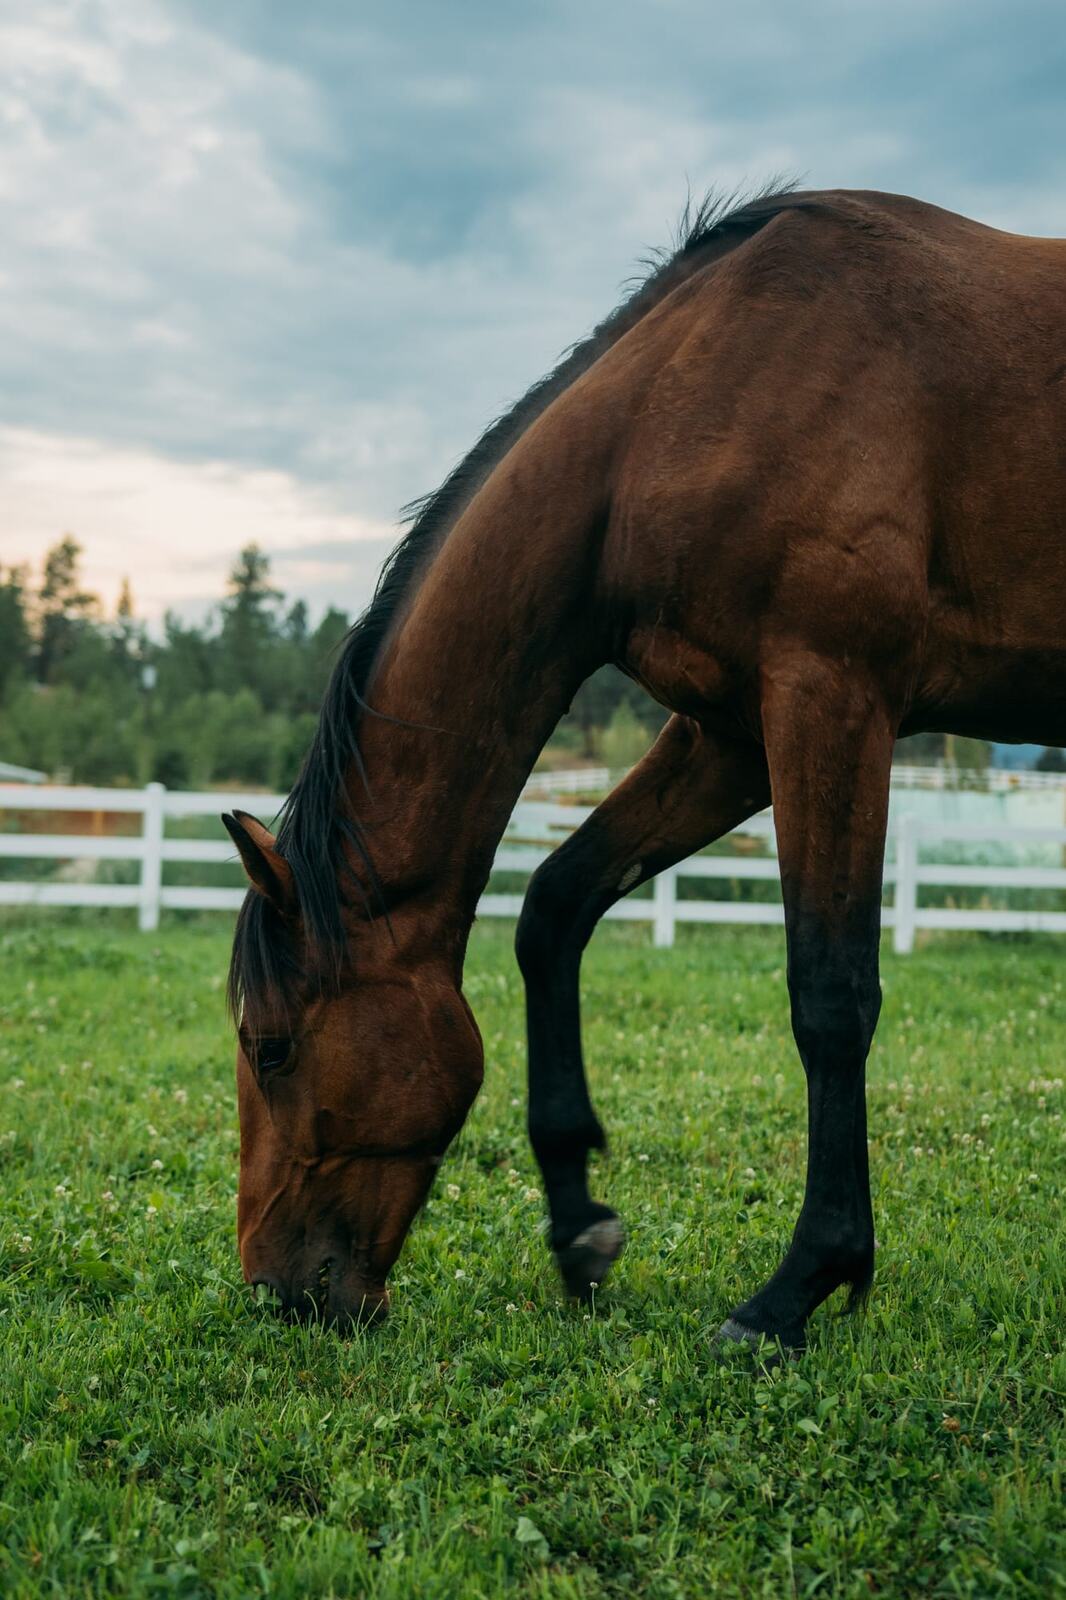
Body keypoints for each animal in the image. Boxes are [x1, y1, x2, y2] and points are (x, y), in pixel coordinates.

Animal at [224, 183, 1066, 1354]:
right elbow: (555, 905)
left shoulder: (829, 696)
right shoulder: (729, 734)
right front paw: (579, 1224)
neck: (684, 404)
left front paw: (798, 1286)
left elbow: (830, 993)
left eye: (270, 1048)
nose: (276, 1291)